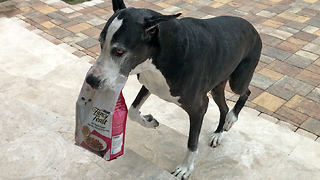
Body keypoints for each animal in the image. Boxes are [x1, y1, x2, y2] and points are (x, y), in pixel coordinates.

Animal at [86, 0, 262, 177]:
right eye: (100, 43)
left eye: (119, 51)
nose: (90, 80)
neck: (164, 52)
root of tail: (252, 27)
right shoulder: (150, 84)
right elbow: (132, 111)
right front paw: (149, 121)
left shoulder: (199, 107)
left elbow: (192, 142)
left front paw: (185, 168)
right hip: (218, 85)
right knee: (224, 107)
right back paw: (218, 133)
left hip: (238, 81)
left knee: (245, 92)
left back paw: (231, 118)